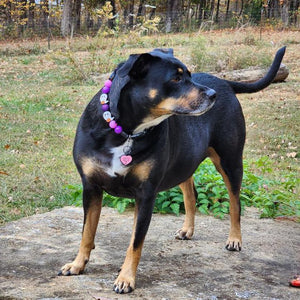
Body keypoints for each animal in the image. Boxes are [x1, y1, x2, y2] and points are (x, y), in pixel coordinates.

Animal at [58, 47, 286, 292]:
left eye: (189, 75)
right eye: (176, 79)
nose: (213, 94)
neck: (124, 132)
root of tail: (224, 82)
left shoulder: (145, 195)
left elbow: (135, 243)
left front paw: (126, 278)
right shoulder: (91, 187)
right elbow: (87, 232)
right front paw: (77, 264)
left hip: (230, 161)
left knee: (235, 203)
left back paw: (235, 239)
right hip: (184, 163)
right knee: (191, 195)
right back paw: (188, 229)